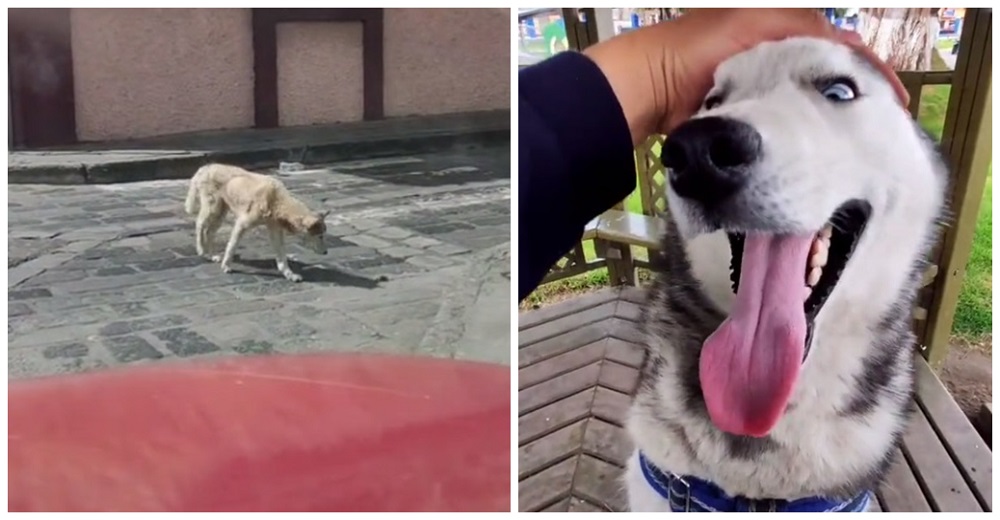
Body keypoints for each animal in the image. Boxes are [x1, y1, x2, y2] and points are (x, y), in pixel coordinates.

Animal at [184, 165, 328, 282]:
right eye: (320, 236)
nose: (326, 252)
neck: (276, 202)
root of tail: (206, 167)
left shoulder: (275, 232)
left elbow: (282, 258)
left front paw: (289, 274)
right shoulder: (241, 225)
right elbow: (231, 247)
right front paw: (226, 266)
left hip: (220, 214)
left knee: (209, 231)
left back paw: (211, 255)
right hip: (212, 209)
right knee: (199, 224)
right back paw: (201, 250)